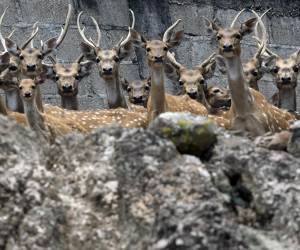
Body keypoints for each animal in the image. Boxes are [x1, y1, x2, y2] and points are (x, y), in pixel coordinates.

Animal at [204, 9, 296, 137]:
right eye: (218, 36)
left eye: (238, 35)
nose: (227, 46)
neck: (243, 111)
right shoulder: (235, 130)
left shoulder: (265, 130)